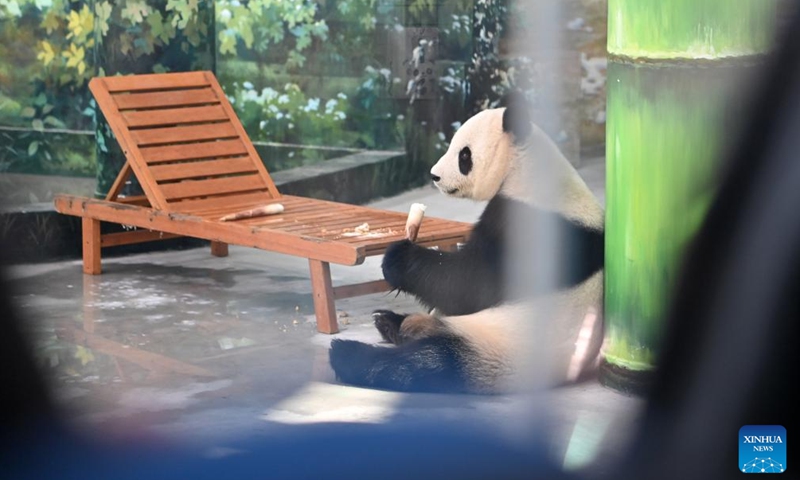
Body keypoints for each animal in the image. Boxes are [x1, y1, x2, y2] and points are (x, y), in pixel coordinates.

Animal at [328, 102, 604, 394]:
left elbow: (470, 283)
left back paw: (349, 353)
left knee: (429, 362)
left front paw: (397, 258)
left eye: (464, 154)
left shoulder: (532, 223)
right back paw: (392, 322)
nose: (434, 175)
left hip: (496, 348)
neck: (523, 166)